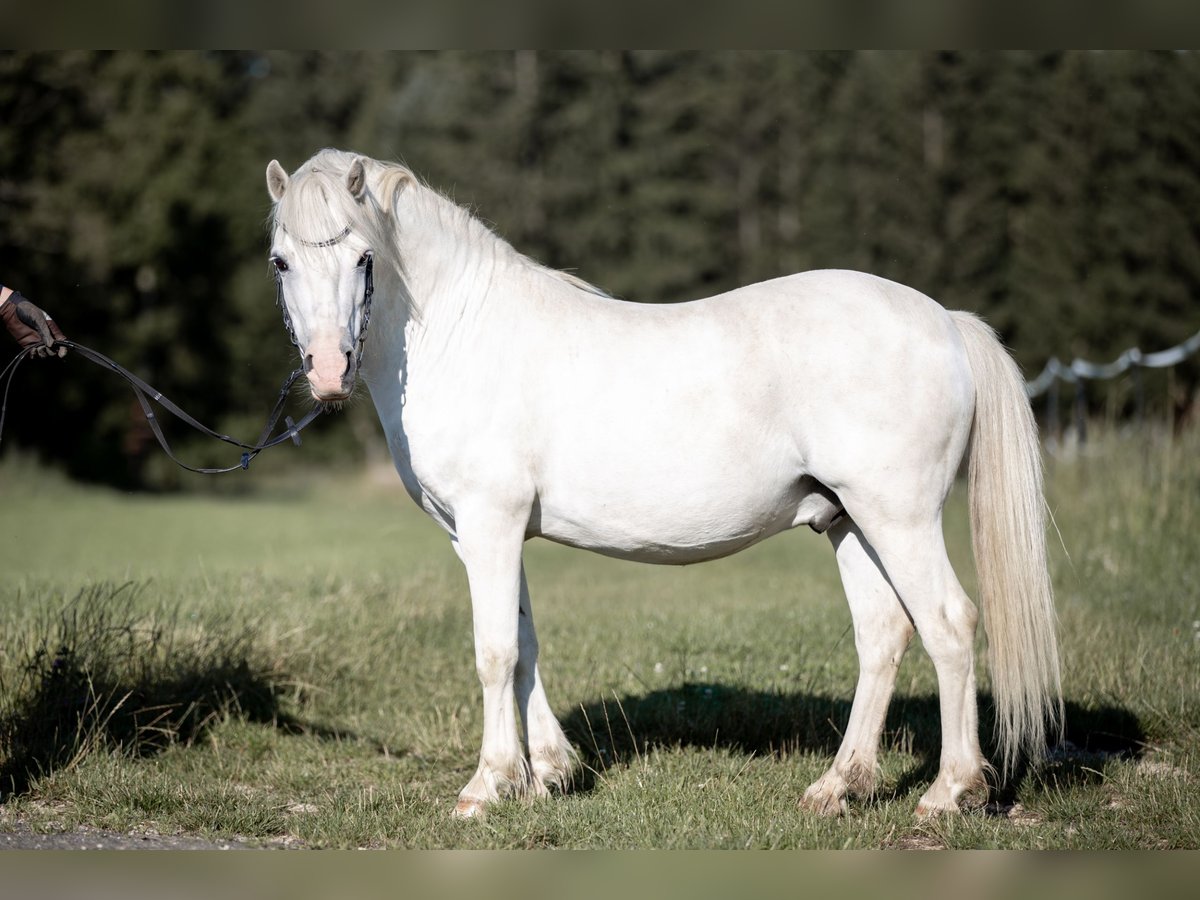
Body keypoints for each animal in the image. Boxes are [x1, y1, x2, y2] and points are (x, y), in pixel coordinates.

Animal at [265, 151, 1060, 820]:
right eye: (280, 262)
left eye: (364, 257)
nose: (328, 371)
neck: (464, 334)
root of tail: (945, 321)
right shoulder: (485, 533)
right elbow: (524, 643)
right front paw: (549, 773)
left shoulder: (490, 522)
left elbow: (494, 651)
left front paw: (487, 787)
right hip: (849, 521)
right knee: (883, 635)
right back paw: (838, 787)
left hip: (898, 517)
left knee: (950, 625)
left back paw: (949, 792)